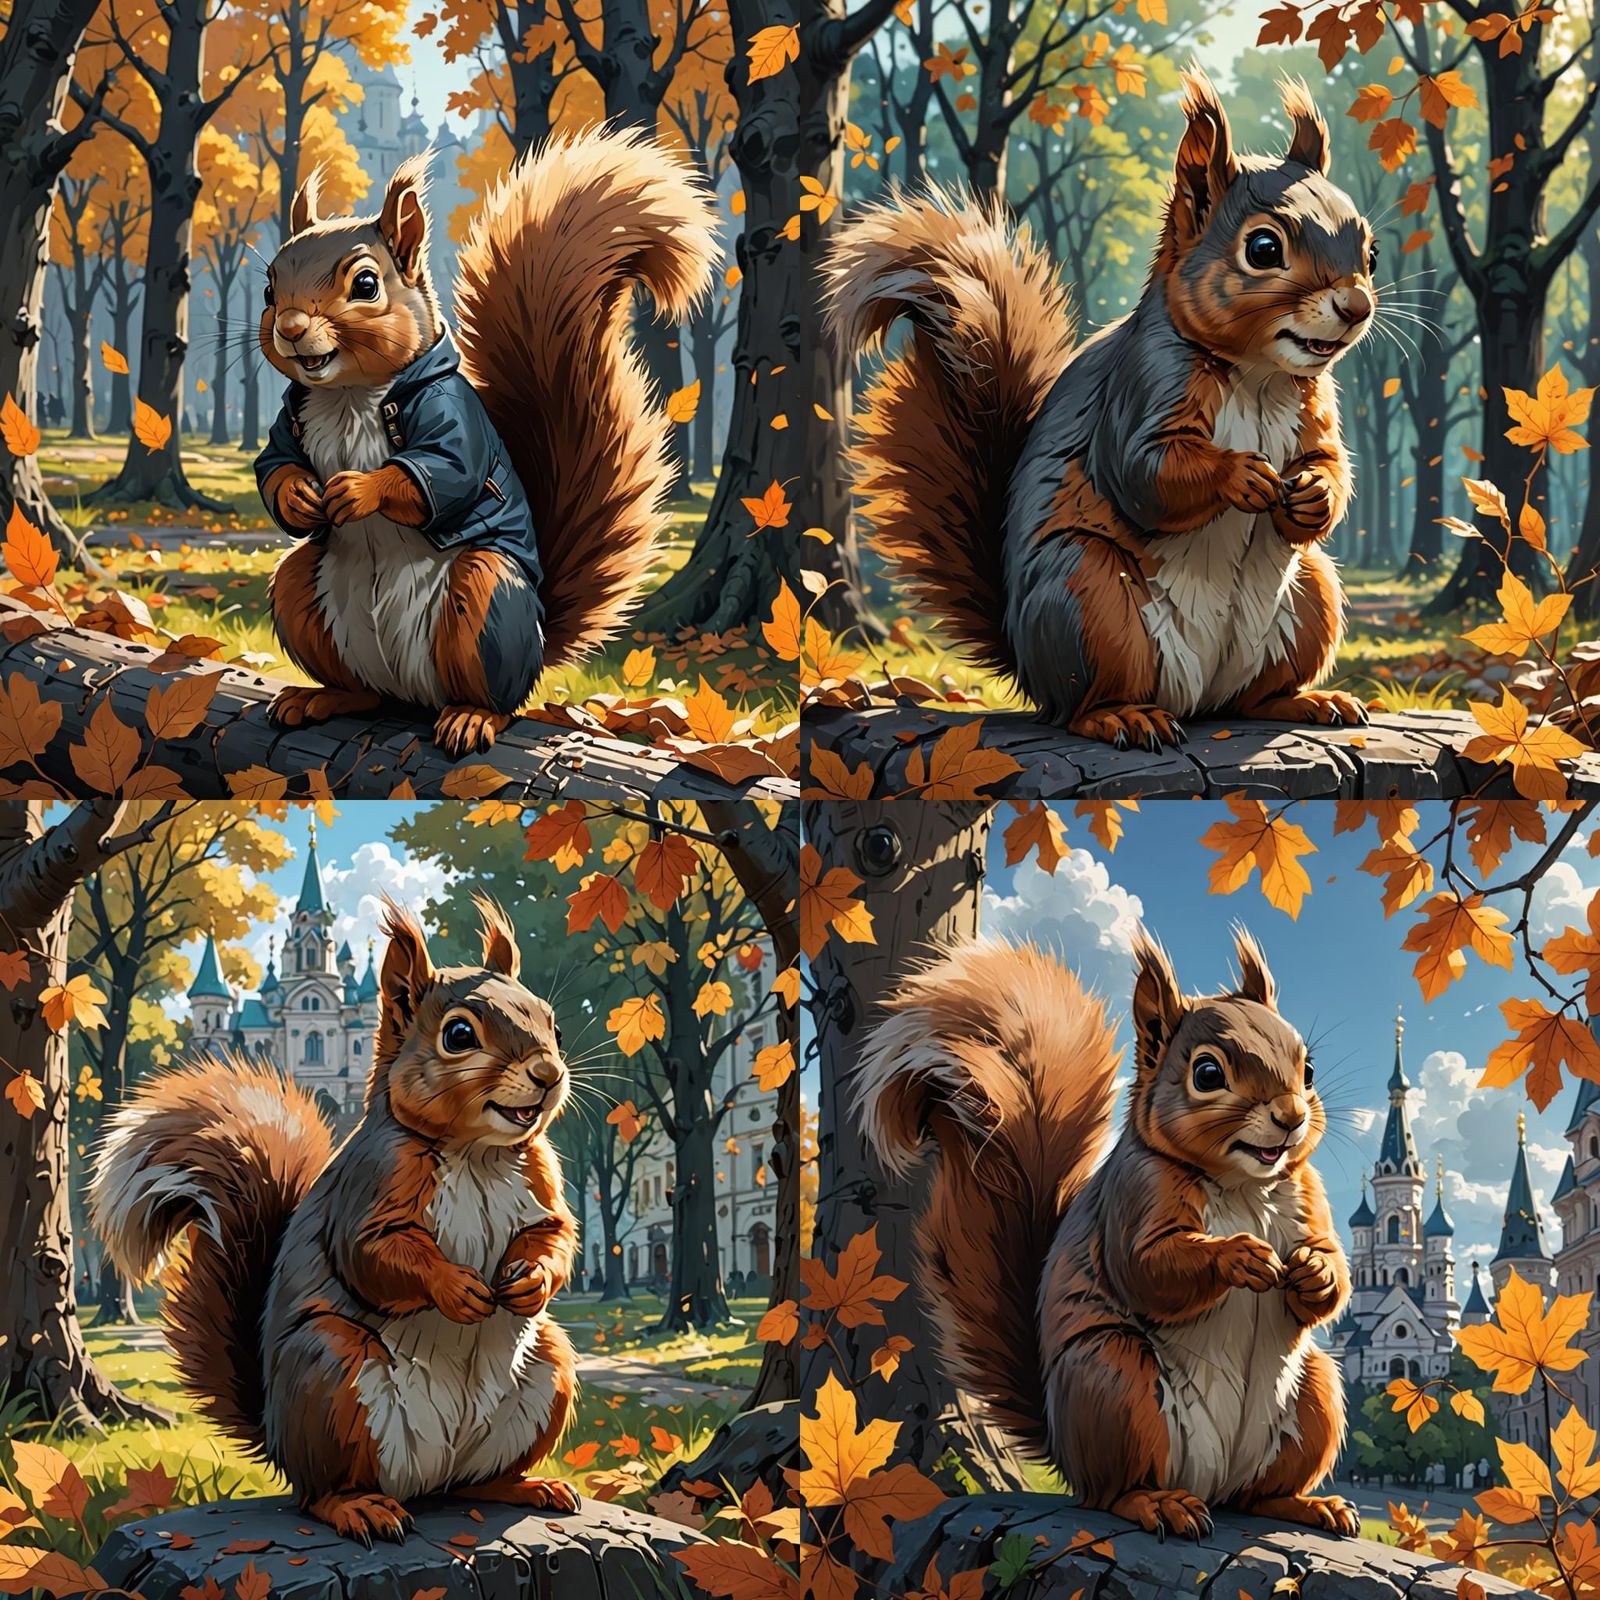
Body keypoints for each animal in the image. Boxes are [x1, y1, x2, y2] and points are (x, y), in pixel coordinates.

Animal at [89, 897, 581, 1545]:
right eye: (458, 1034)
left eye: (553, 1024)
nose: (549, 1074)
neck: (479, 1151)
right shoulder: (369, 1186)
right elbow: (371, 1255)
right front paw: (455, 1287)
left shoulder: (542, 1180)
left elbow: (557, 1235)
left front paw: (532, 1278)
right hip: (331, 1375)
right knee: (318, 1492)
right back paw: (359, 1508)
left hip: (547, 1369)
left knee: (474, 1482)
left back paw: (527, 1485)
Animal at [255, 129, 718, 757]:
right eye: (268, 288)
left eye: (366, 284)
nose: (291, 328)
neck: (348, 395)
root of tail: (412, 694)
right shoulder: (292, 414)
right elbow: (274, 461)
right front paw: (298, 494)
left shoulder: (454, 418)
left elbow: (444, 472)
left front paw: (358, 491)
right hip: (302, 595)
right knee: (362, 690)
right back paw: (321, 698)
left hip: (487, 599)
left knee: (498, 698)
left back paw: (474, 717)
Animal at [826, 72, 1378, 750]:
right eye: (1264, 247)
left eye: (1371, 253)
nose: (1357, 306)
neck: (1256, 374)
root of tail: (1196, 700)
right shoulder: (1142, 387)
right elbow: (1147, 474)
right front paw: (1241, 475)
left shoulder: (1313, 405)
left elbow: (1328, 461)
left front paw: (1313, 494)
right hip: (1087, 601)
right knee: (1084, 703)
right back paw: (1124, 716)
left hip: (1309, 596)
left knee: (1252, 698)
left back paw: (1305, 700)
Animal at [854, 929, 1360, 1540]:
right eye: (1208, 1074)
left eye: (1307, 1070)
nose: (1291, 1116)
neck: (1242, 1182)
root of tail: (1210, 1483)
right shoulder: (1135, 1196)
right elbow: (1148, 1270)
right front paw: (1238, 1256)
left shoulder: (1307, 1195)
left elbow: (1335, 1267)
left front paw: (1314, 1271)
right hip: (1115, 1383)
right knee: (1112, 1491)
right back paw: (1159, 1504)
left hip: (1314, 1394)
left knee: (1256, 1496)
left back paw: (1308, 1505)